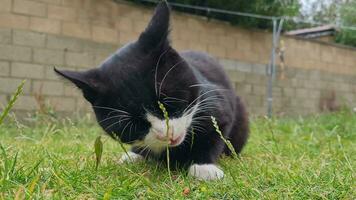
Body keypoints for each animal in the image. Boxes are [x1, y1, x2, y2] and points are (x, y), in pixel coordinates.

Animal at [55, 1, 248, 180]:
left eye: (169, 101)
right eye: (133, 125)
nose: (167, 135)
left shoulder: (215, 102)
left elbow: (215, 132)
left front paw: (204, 167)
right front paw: (135, 154)